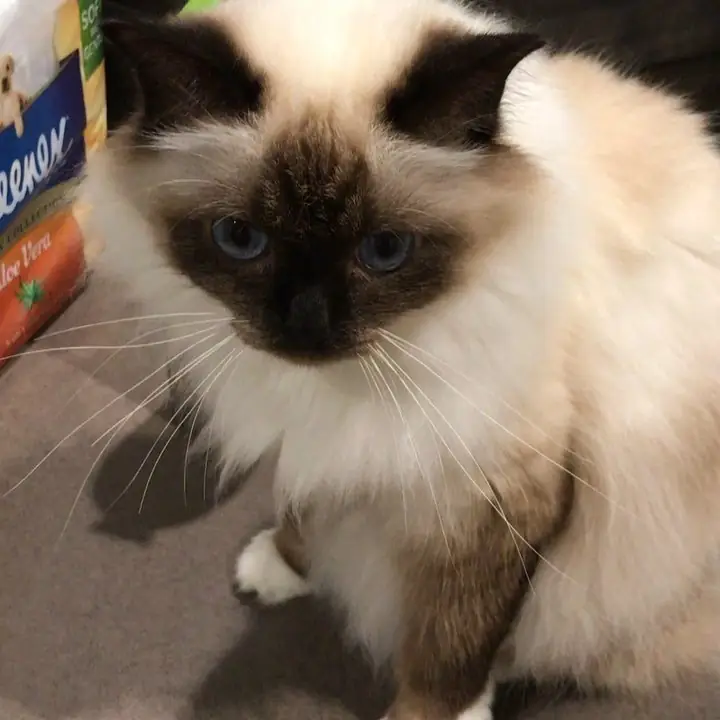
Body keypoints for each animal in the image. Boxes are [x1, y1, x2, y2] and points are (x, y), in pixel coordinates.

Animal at [84, 1, 720, 718]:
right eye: (240, 239)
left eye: (385, 250)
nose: (307, 323)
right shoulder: (322, 442)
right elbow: (299, 502)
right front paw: (283, 566)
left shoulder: (493, 496)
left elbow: (452, 644)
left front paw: (441, 709)